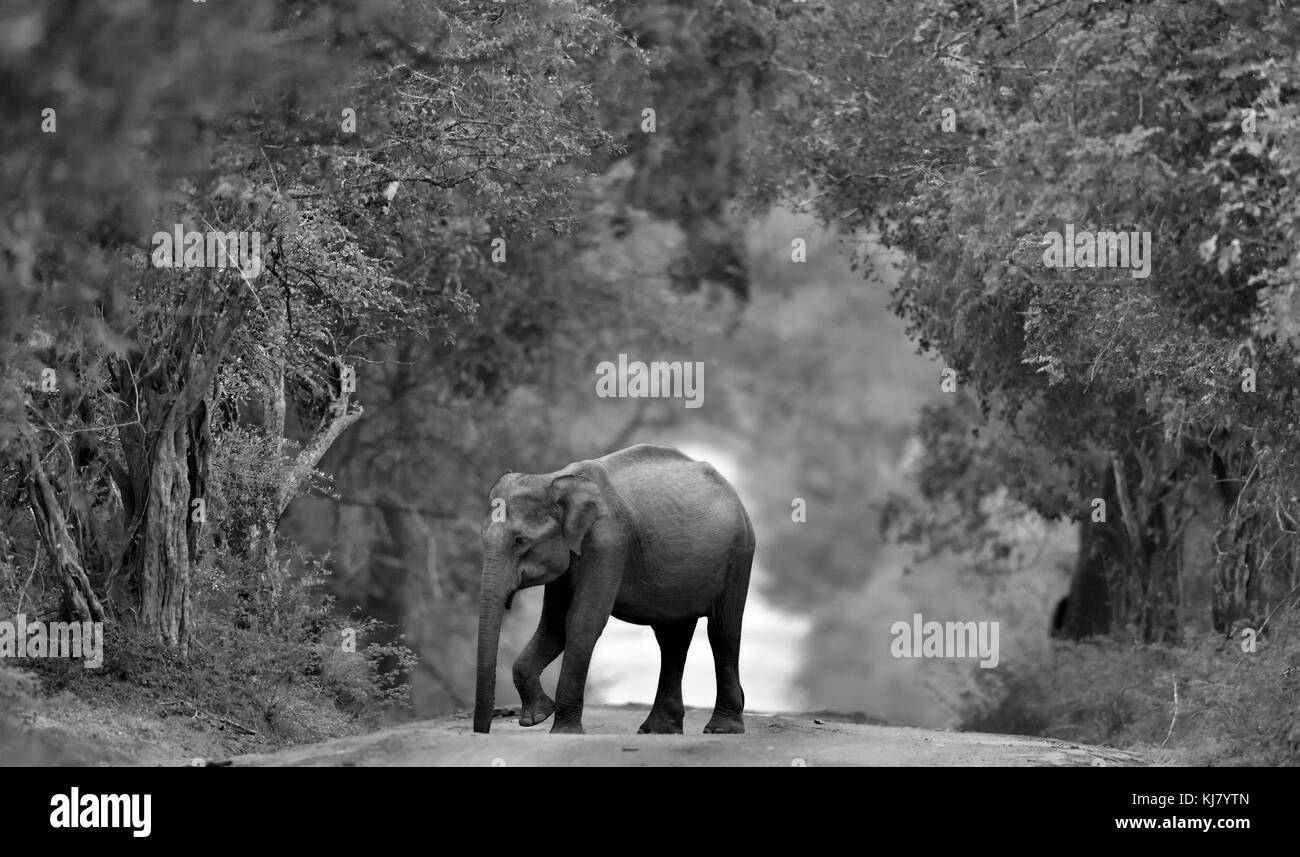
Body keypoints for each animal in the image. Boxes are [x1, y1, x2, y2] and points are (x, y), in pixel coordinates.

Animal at [470, 444, 754, 733]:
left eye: (520, 540)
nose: (482, 731)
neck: (555, 479)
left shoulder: (608, 543)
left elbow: (582, 621)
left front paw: (563, 731)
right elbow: (553, 626)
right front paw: (537, 716)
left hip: (738, 553)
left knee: (722, 631)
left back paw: (721, 728)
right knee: (672, 638)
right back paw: (658, 729)